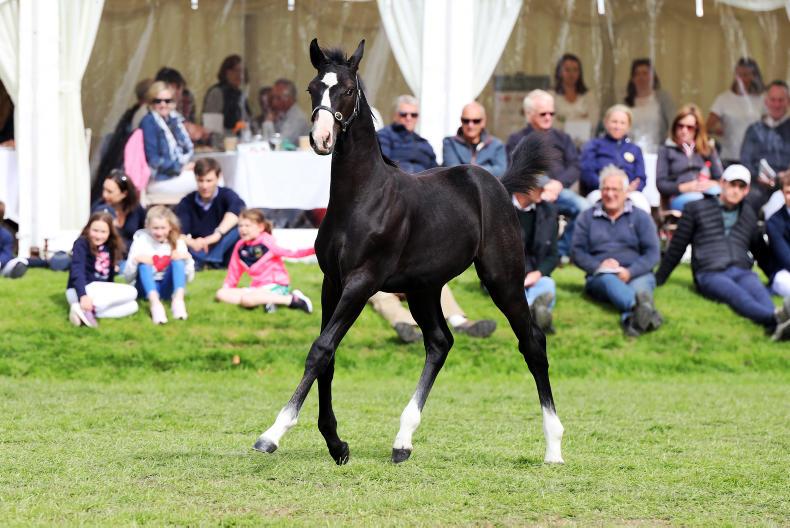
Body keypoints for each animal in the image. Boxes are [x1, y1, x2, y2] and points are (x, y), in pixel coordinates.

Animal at [253, 38, 564, 465]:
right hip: (424, 288)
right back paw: (402, 440)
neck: (362, 197)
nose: (321, 138)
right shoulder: (332, 281)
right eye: (313, 88)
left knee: (532, 342)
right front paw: (336, 443)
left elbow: (321, 349)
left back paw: (554, 446)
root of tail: (497, 184)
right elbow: (328, 356)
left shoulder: (362, 281)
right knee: (439, 342)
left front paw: (273, 434)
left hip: (503, 279)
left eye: (347, 89)